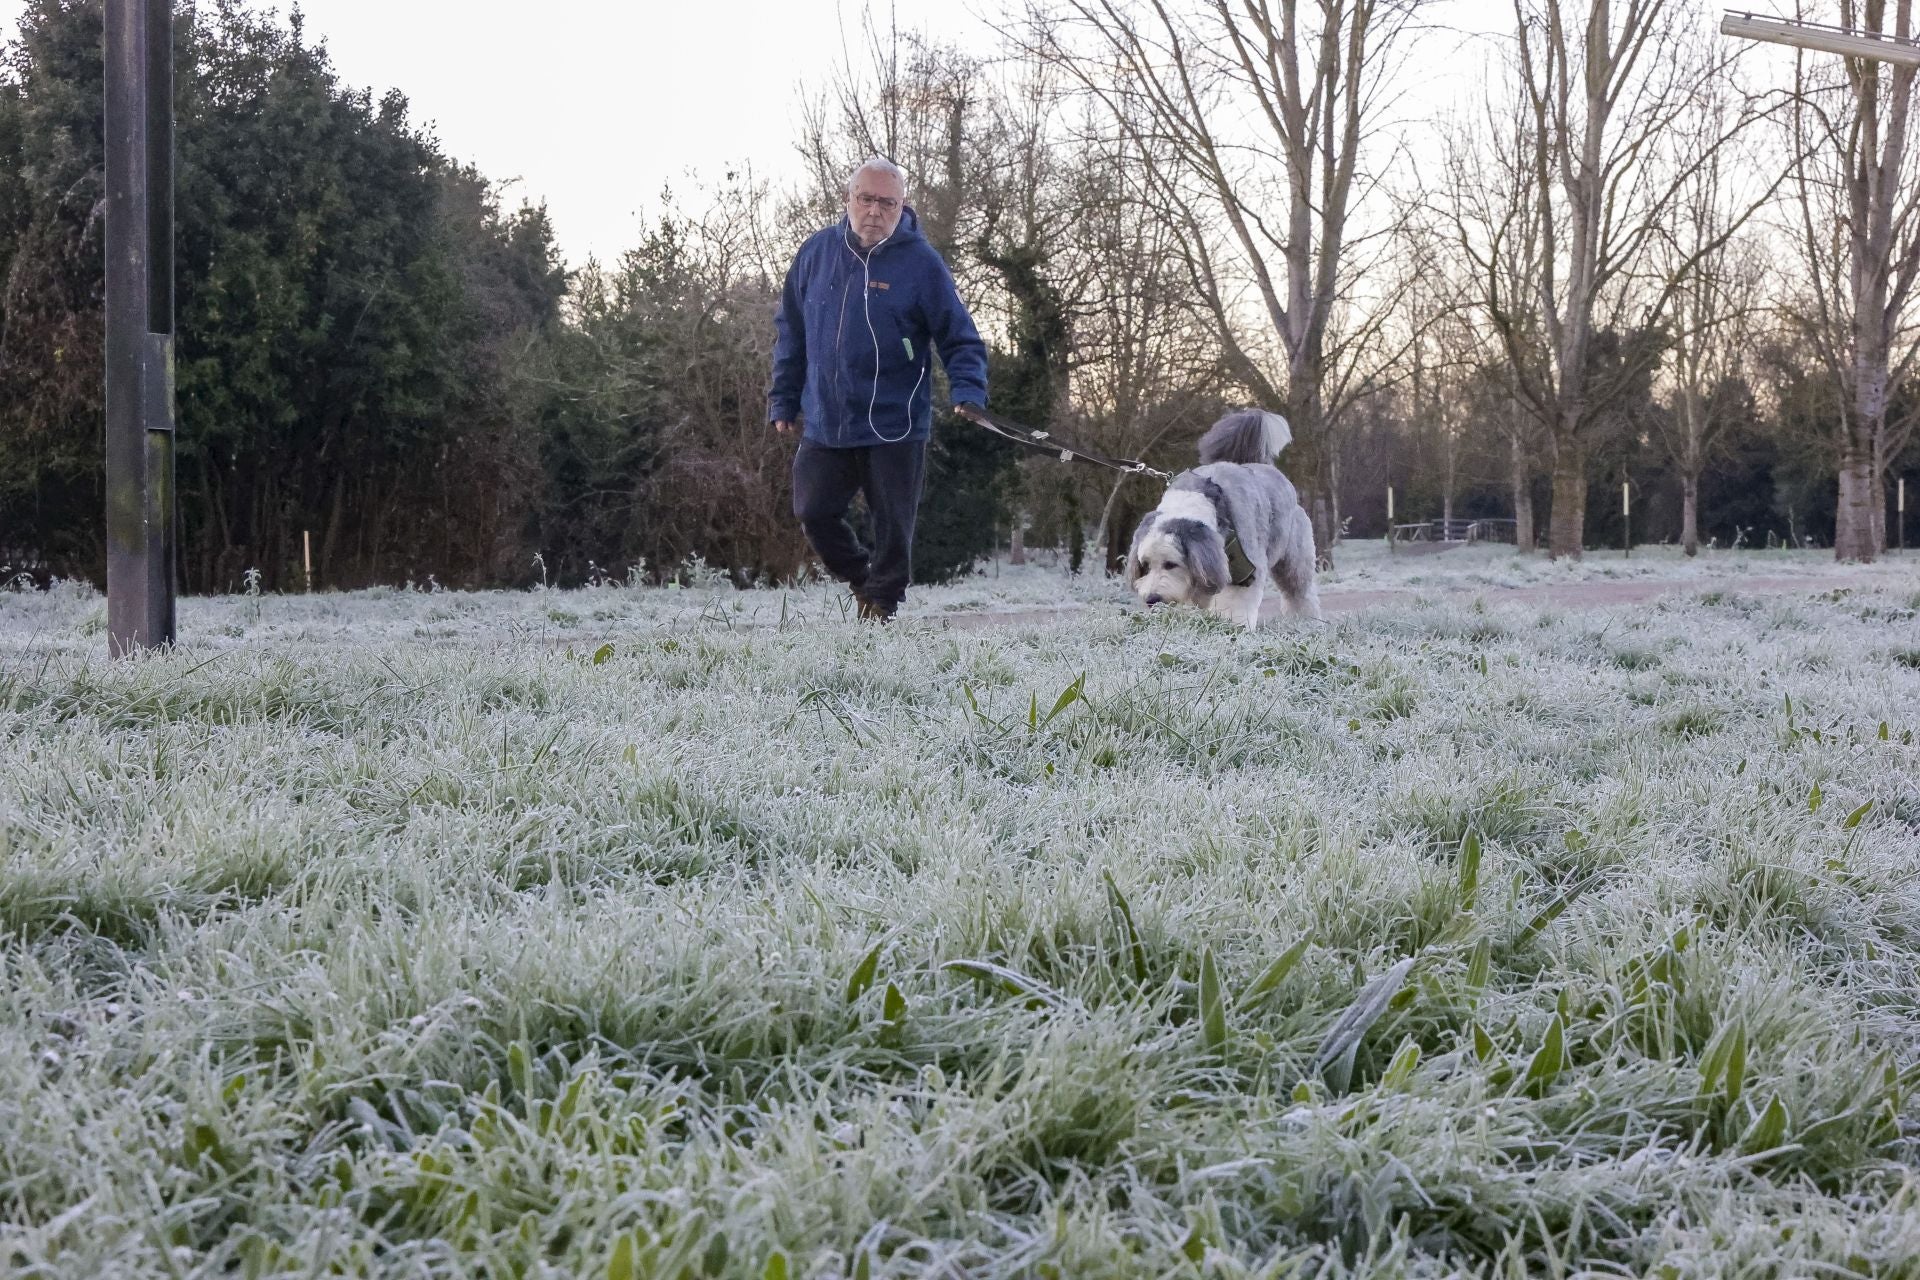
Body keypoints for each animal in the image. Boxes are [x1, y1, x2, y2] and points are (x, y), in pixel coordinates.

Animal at [1121, 410, 1320, 629]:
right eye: (1145, 565)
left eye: (1170, 564)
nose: (1152, 599)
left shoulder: (1246, 573)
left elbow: (1236, 605)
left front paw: (1232, 628)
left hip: (1294, 558)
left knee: (1299, 592)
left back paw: (1305, 621)